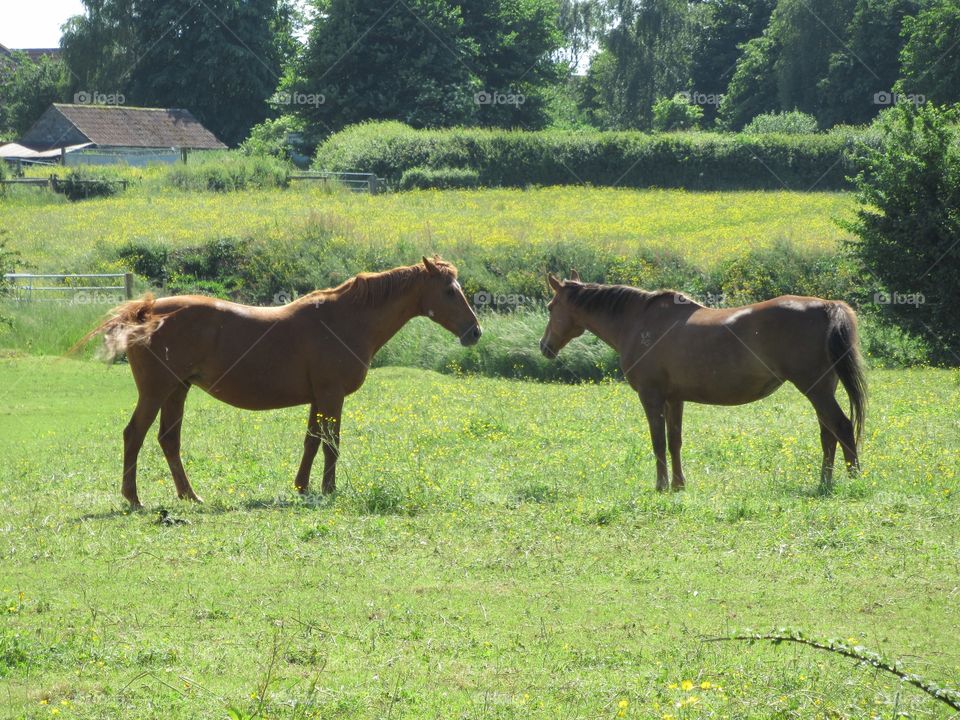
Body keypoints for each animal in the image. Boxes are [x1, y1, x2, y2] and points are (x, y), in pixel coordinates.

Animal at [77, 258, 480, 506]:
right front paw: (328, 490)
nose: (474, 332)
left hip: (178, 390)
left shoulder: (319, 398)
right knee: (135, 435)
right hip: (157, 391)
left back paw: (189, 495)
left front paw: (302, 487)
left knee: (168, 440)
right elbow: (331, 444)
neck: (345, 319)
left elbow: (312, 442)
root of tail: (145, 311)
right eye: (449, 290)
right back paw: (134, 498)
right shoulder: (332, 395)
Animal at [540, 272, 872, 492]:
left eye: (550, 307)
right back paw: (825, 481)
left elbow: (658, 441)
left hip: (815, 389)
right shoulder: (674, 399)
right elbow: (674, 441)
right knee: (828, 434)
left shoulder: (651, 396)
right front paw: (678, 484)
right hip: (822, 390)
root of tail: (829, 307)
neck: (637, 322)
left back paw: (853, 478)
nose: (545, 346)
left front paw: (661, 485)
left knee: (841, 427)